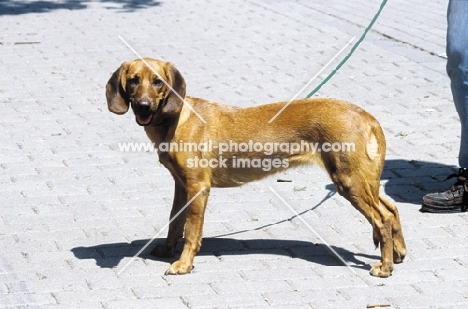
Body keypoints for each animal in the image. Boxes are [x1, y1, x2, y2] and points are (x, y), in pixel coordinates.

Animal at [106, 57, 406, 276]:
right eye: (133, 81)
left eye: (158, 82)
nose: (143, 106)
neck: (175, 121)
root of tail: (367, 117)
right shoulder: (181, 186)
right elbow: (174, 221)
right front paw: (168, 249)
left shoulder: (197, 188)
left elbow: (191, 231)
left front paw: (183, 264)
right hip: (362, 180)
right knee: (391, 210)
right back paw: (398, 253)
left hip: (349, 181)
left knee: (382, 218)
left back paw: (385, 267)